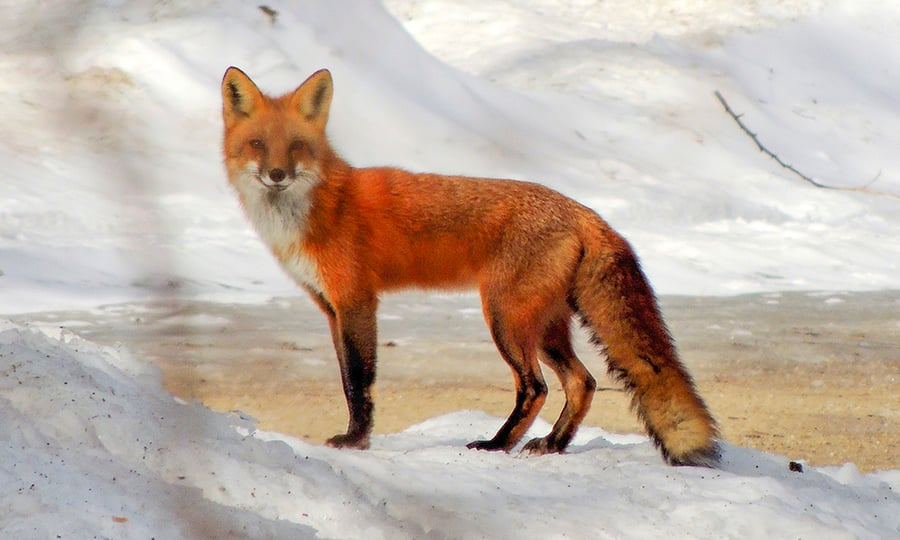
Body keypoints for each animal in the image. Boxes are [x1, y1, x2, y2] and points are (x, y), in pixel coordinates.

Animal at [221, 66, 720, 466]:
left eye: (297, 146)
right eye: (258, 144)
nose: (277, 175)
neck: (319, 207)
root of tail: (583, 211)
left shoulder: (357, 301)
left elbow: (358, 381)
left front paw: (356, 440)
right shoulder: (331, 309)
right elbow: (347, 378)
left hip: (504, 317)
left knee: (536, 387)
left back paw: (497, 445)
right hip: (545, 326)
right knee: (584, 382)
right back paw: (552, 445)